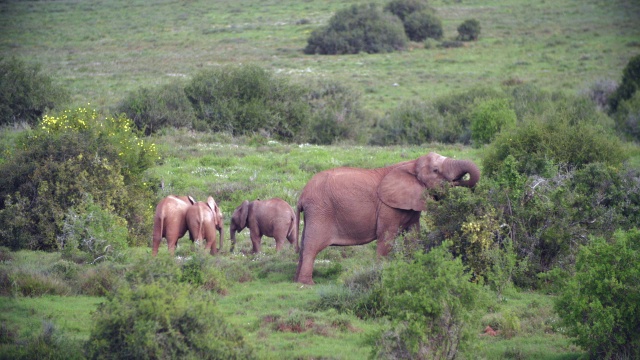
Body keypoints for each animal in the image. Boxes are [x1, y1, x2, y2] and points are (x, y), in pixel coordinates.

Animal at [296, 152, 480, 284]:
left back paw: (296, 280)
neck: (412, 164)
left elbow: (413, 237)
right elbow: (387, 237)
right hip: (320, 210)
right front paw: (380, 275)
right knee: (312, 246)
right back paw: (307, 284)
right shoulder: (387, 207)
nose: (459, 182)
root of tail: (302, 195)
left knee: (305, 244)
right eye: (436, 170)